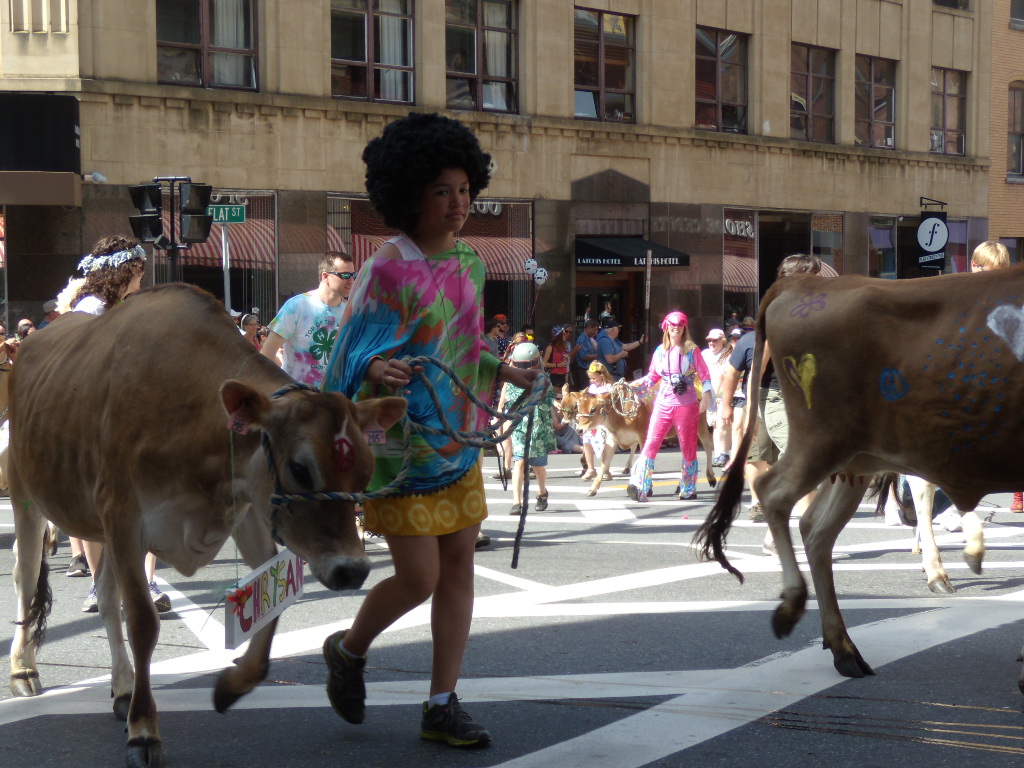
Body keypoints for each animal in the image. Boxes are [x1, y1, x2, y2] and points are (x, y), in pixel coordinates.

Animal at [9, 286, 407, 768]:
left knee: (104, 598)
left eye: (366, 471)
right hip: (27, 492)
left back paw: (122, 687)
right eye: (300, 467)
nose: (353, 570)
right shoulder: (124, 515)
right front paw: (144, 732)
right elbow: (142, 622)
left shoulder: (248, 511)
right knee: (26, 576)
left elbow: (270, 605)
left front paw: (233, 685)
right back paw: (24, 669)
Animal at [696, 268, 1024, 684]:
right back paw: (795, 604)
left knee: (816, 526)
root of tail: (804, 285)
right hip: (824, 440)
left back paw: (845, 647)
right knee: (773, 492)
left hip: (858, 458)